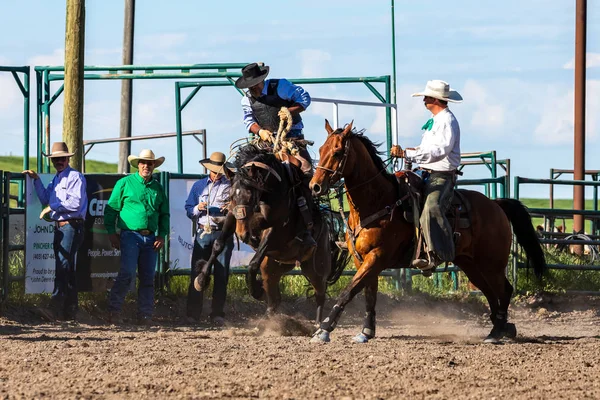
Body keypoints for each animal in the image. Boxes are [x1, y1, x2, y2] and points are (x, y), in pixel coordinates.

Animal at [195, 143, 346, 322]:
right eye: (231, 196)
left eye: (250, 196)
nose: (242, 234)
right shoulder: (232, 216)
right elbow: (218, 245)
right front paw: (201, 279)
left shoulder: (275, 230)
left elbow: (253, 263)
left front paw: (256, 290)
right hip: (274, 267)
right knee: (275, 298)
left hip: (316, 268)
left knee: (320, 293)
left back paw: (317, 323)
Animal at [308, 119, 548, 344]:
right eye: (320, 150)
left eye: (337, 152)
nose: (315, 187)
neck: (379, 202)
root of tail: (496, 205)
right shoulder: (363, 260)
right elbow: (368, 294)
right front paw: (366, 331)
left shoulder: (377, 257)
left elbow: (349, 290)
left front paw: (324, 330)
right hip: (472, 265)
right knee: (491, 293)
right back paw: (501, 328)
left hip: (492, 264)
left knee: (504, 291)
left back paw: (497, 331)